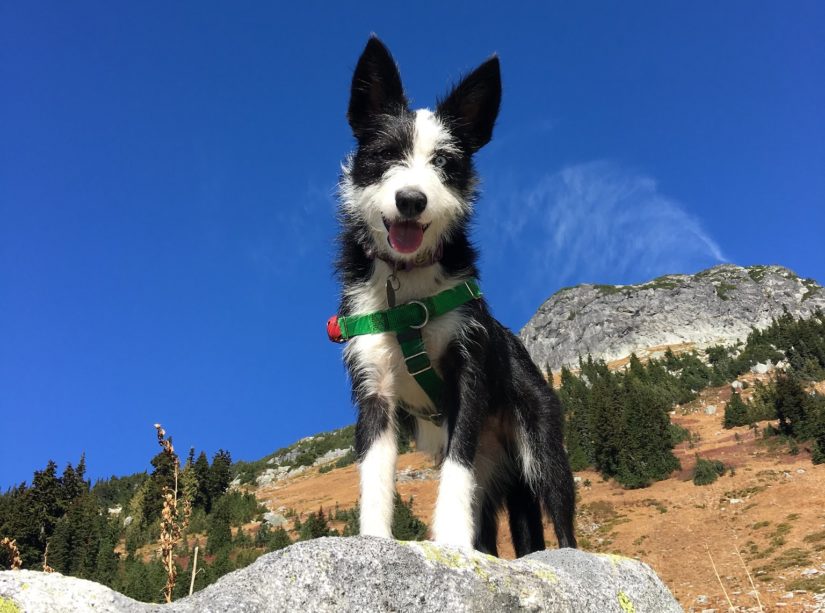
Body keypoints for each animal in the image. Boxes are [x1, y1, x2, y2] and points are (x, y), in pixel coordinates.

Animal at [332, 37, 576, 556]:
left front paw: (449, 537)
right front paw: (374, 540)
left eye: (445, 162)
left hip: (541, 446)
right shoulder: (374, 389)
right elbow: (374, 474)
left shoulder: (468, 374)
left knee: (560, 517)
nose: (411, 200)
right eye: (386, 154)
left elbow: (457, 461)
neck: (407, 283)